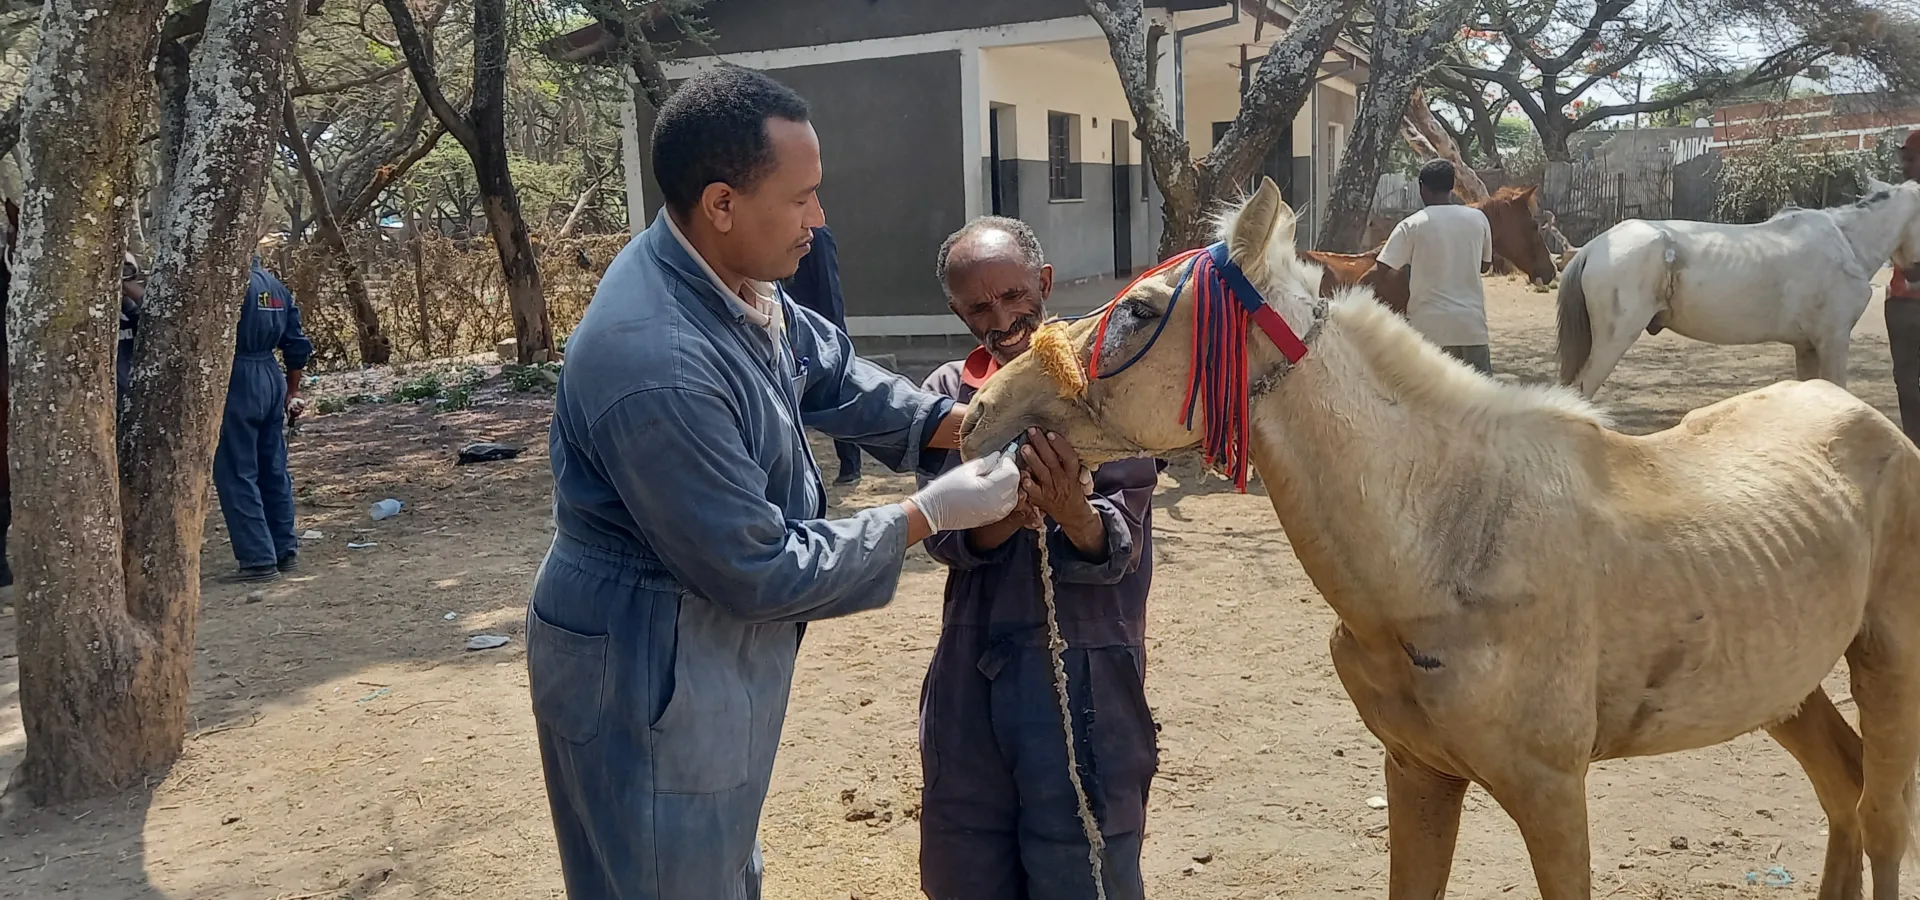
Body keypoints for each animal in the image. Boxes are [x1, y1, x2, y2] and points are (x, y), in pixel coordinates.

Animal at [1557, 182, 1920, 398]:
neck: (1846, 243)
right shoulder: (1833, 340)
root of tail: (1595, 247)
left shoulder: (1807, 347)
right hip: (1613, 341)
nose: (1913, 277)